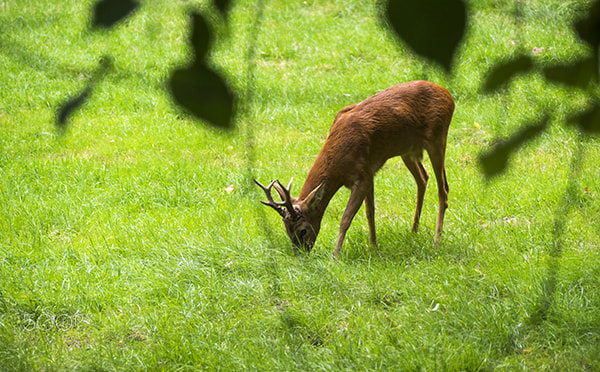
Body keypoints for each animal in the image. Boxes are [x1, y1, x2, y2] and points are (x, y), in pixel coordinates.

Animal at [254, 79, 454, 258]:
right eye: (286, 229)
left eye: (303, 230)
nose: (300, 254)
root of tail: (448, 96)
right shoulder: (369, 172)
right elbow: (370, 212)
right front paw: (373, 247)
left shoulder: (361, 176)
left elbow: (346, 218)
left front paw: (336, 255)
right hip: (408, 150)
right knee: (423, 178)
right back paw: (413, 231)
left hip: (437, 138)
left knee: (443, 189)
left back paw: (436, 241)